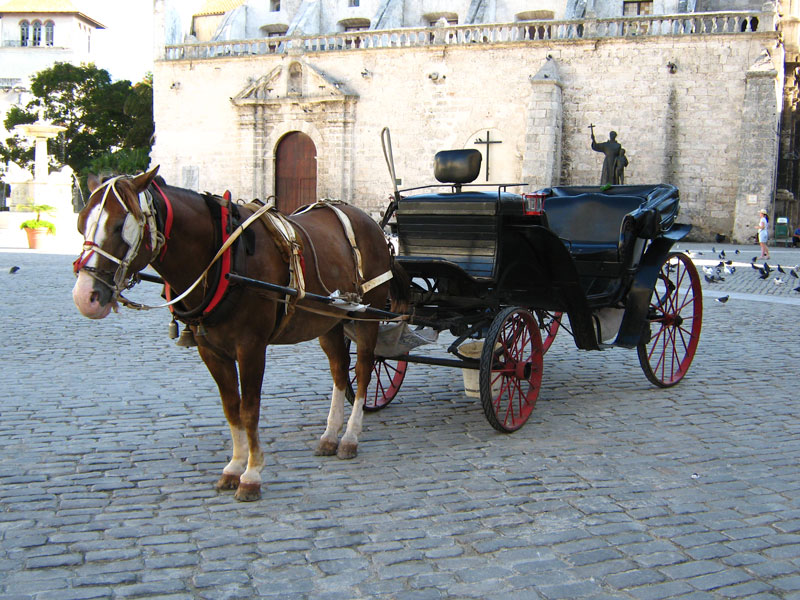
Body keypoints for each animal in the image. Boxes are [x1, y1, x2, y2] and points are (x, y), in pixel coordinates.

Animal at [72, 166, 404, 500]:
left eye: (119, 225)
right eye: (81, 223)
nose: (85, 296)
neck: (224, 260)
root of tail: (369, 222)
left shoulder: (251, 348)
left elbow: (249, 409)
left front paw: (252, 475)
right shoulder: (211, 351)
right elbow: (231, 407)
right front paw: (233, 468)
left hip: (369, 316)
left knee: (363, 370)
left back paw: (350, 437)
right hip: (330, 320)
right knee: (339, 370)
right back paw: (330, 435)